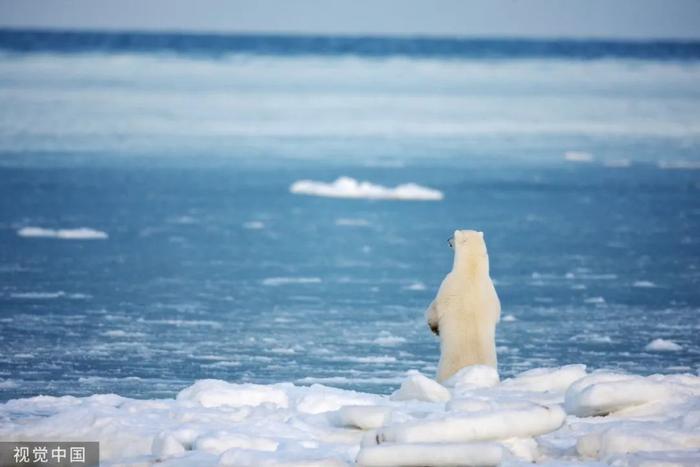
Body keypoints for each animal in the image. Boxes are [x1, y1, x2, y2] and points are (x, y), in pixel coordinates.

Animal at [424, 230, 500, 384]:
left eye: (453, 235)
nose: (447, 240)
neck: (472, 271)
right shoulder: (492, 293)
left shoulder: (448, 285)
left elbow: (435, 309)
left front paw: (434, 328)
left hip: (444, 368)